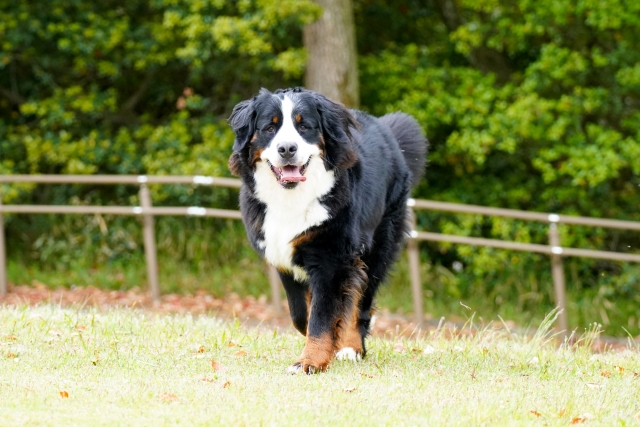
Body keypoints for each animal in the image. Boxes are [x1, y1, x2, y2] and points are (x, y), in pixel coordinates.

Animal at [228, 88, 428, 374]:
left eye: (304, 126)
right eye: (270, 127)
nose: (287, 148)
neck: (291, 199)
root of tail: (386, 129)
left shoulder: (330, 258)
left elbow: (322, 317)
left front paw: (309, 362)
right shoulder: (283, 258)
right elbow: (302, 315)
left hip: (379, 244)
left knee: (361, 299)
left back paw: (351, 347)